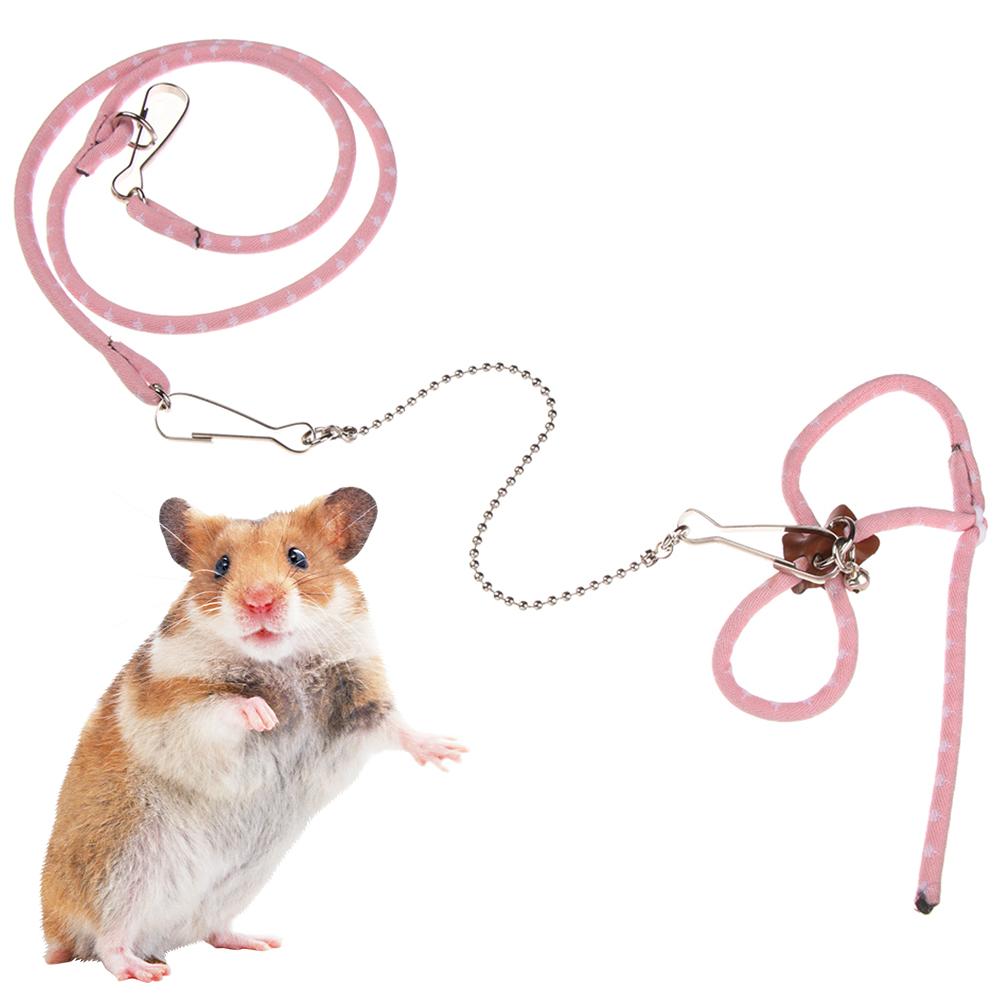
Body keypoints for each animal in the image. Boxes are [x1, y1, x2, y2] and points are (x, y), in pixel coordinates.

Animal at [41, 487, 467, 982]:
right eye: (221, 565)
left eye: (298, 557)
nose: (259, 601)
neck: (281, 660)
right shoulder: (174, 705)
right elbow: (222, 706)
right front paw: (265, 715)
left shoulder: (362, 701)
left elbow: (397, 727)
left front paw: (450, 752)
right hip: (121, 867)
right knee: (106, 941)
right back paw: (144, 971)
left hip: (235, 885)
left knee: (211, 930)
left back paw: (257, 942)